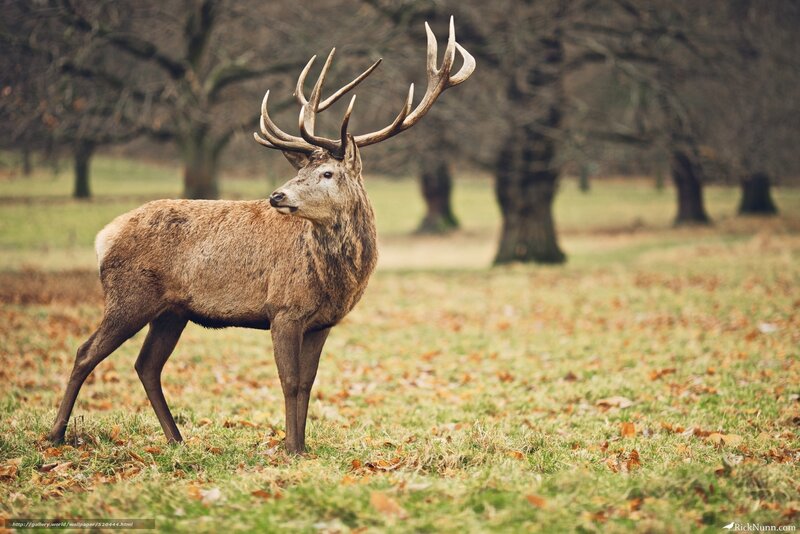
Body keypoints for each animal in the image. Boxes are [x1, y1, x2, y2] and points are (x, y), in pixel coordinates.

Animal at [47, 18, 474, 454]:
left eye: (327, 173)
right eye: (301, 170)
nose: (277, 195)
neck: (335, 281)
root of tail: (104, 236)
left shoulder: (322, 323)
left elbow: (308, 383)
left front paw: (302, 447)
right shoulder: (283, 309)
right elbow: (289, 381)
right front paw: (289, 448)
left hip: (172, 311)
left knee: (146, 364)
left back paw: (177, 439)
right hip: (129, 295)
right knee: (86, 352)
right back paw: (57, 434)